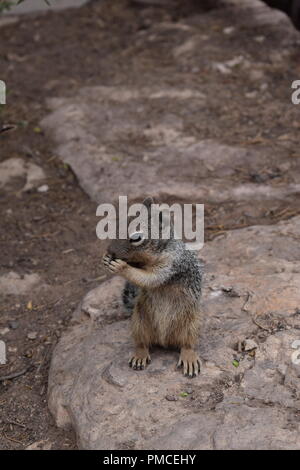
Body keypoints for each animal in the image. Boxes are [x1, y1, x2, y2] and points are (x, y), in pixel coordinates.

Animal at [103, 196, 204, 376]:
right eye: (117, 226)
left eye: (136, 238)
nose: (110, 251)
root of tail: (164, 340)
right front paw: (106, 258)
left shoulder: (171, 264)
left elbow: (150, 279)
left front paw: (121, 267)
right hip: (139, 323)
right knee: (142, 343)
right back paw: (140, 355)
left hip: (191, 324)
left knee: (187, 344)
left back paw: (189, 357)